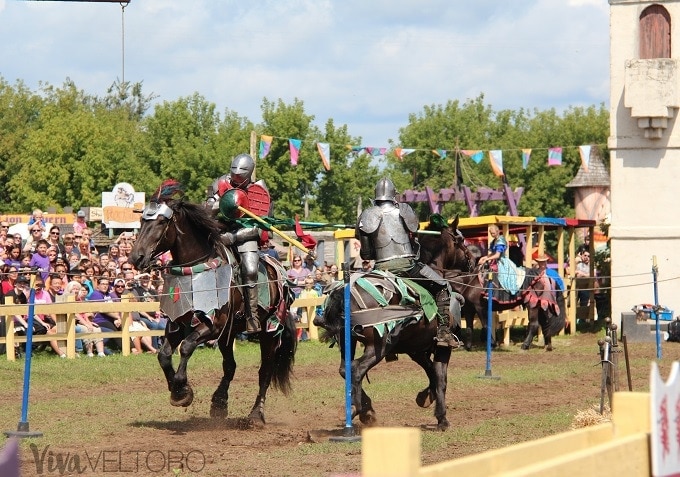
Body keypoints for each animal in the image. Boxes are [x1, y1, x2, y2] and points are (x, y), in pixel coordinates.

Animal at [129, 180, 296, 426]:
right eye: (142, 221)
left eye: (161, 222)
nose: (136, 258)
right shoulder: (177, 323)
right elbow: (164, 355)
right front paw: (177, 391)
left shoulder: (212, 326)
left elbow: (187, 346)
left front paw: (182, 388)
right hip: (229, 333)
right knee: (230, 366)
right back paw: (219, 403)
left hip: (269, 333)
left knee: (265, 370)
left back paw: (256, 415)